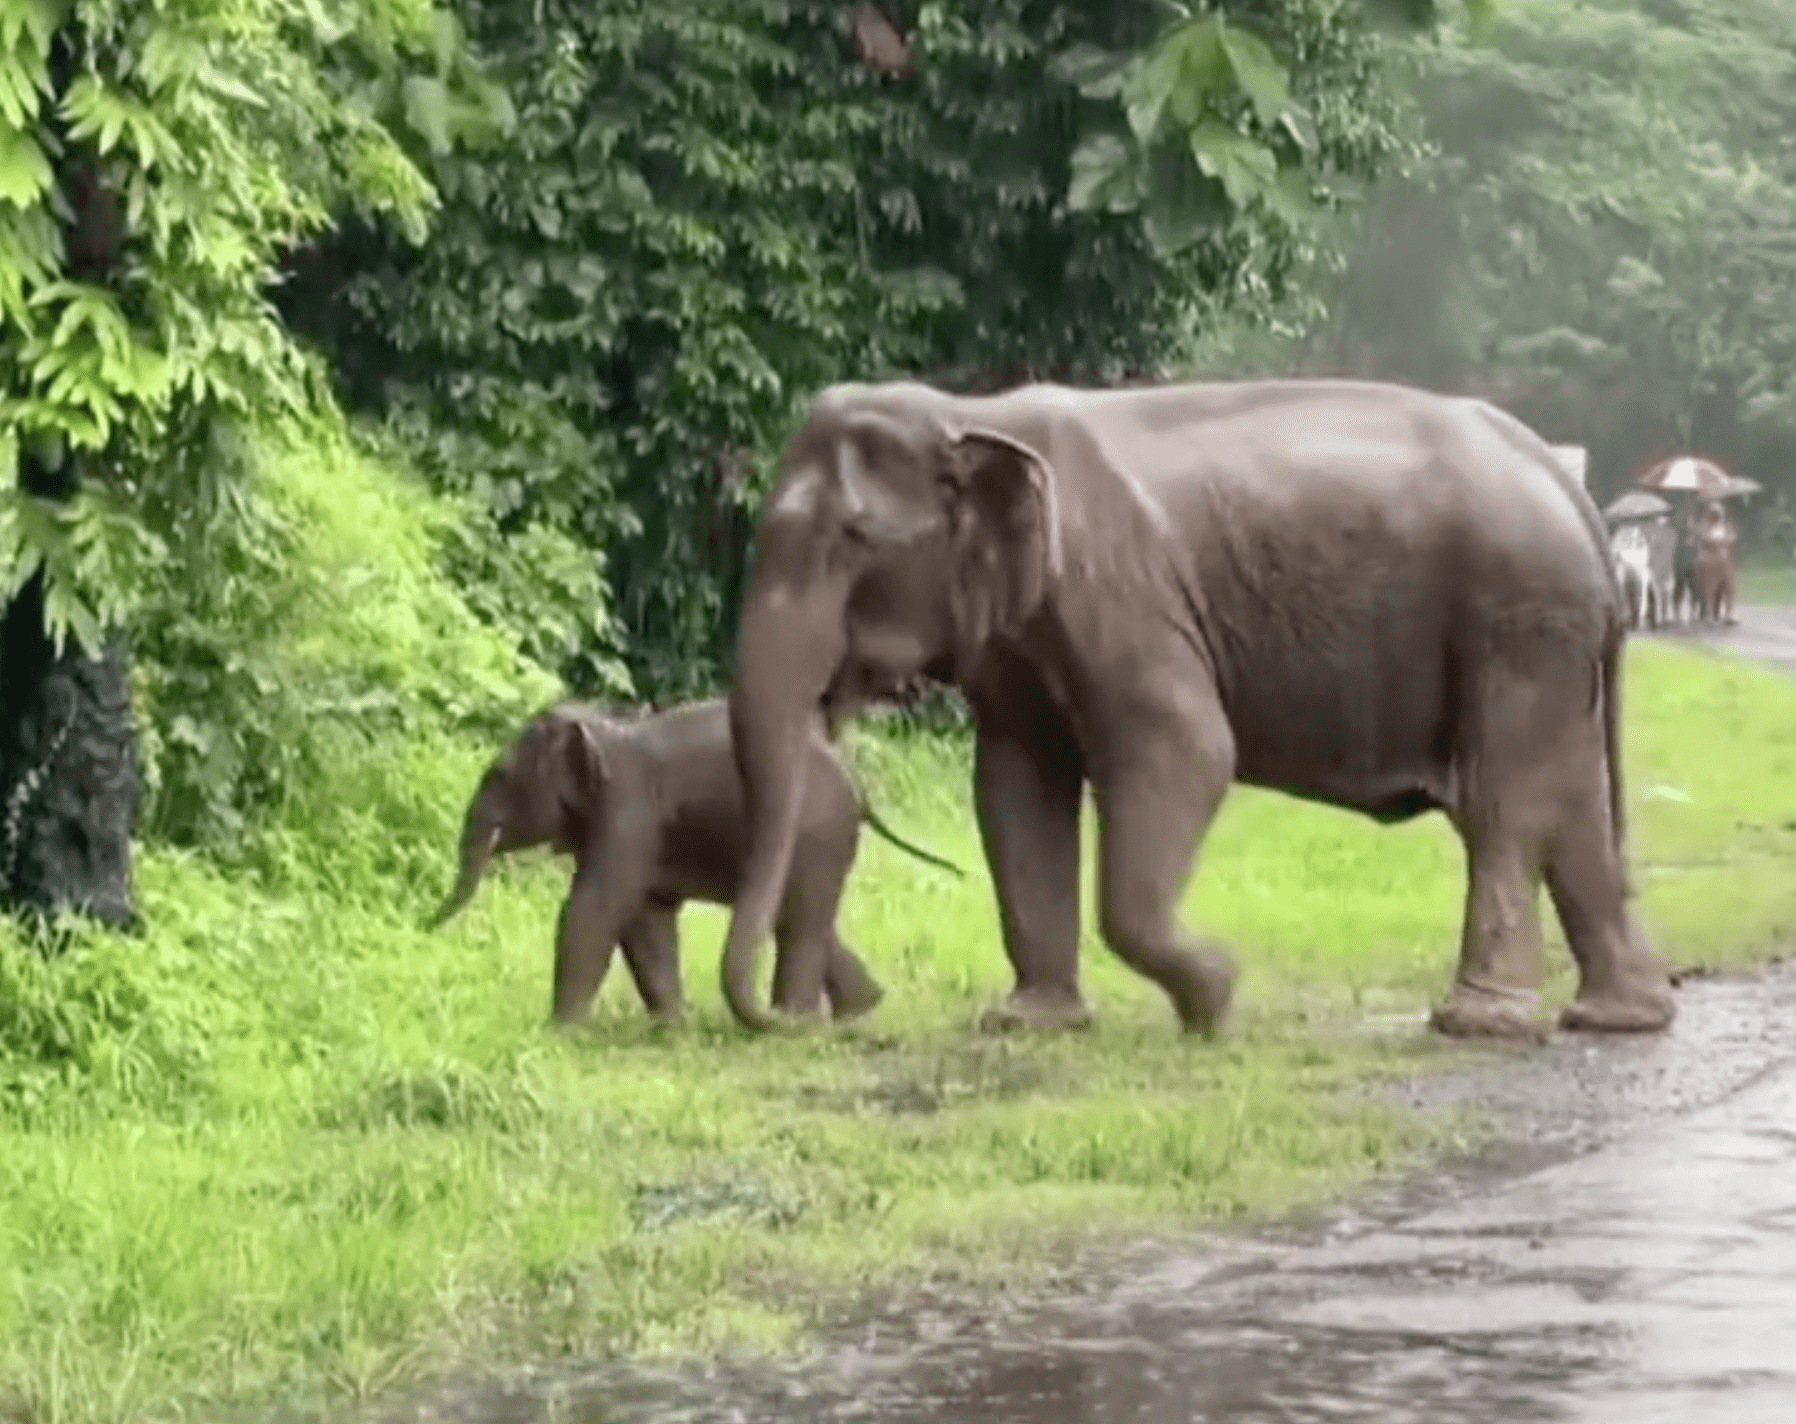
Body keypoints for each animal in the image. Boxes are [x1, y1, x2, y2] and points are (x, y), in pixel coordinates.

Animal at [428, 697, 962, 1026]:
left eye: (497, 775)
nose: (423, 928)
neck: (608, 729)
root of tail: (857, 780)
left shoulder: (628, 814)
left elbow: (596, 908)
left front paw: (561, 1030)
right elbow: (646, 920)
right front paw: (672, 1025)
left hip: (817, 833)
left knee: (800, 923)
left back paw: (797, 1021)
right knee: (801, 919)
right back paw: (861, 1010)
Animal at [716, 375, 1678, 1041]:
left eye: (852, 541)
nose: (791, 1022)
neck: (971, 410)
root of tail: (1569, 486)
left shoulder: (1120, 596)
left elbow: (1185, 749)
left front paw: (1215, 993)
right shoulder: (1023, 641)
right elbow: (1016, 785)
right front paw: (1028, 1024)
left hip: (1517, 623)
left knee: (1504, 809)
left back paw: (1478, 1025)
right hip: (1546, 640)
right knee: (1572, 807)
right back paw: (1619, 1018)